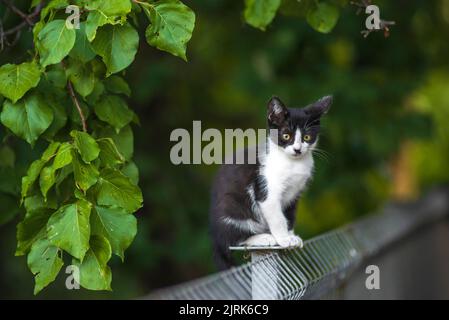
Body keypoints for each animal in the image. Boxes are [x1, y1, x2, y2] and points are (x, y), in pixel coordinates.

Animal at [208, 95, 330, 270]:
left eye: (307, 137)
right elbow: (278, 218)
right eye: (286, 136)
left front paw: (291, 236)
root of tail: (215, 238)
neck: (293, 163)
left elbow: (289, 215)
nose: (298, 150)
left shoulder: (295, 193)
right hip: (232, 207)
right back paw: (262, 238)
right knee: (232, 240)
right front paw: (284, 239)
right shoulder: (266, 189)